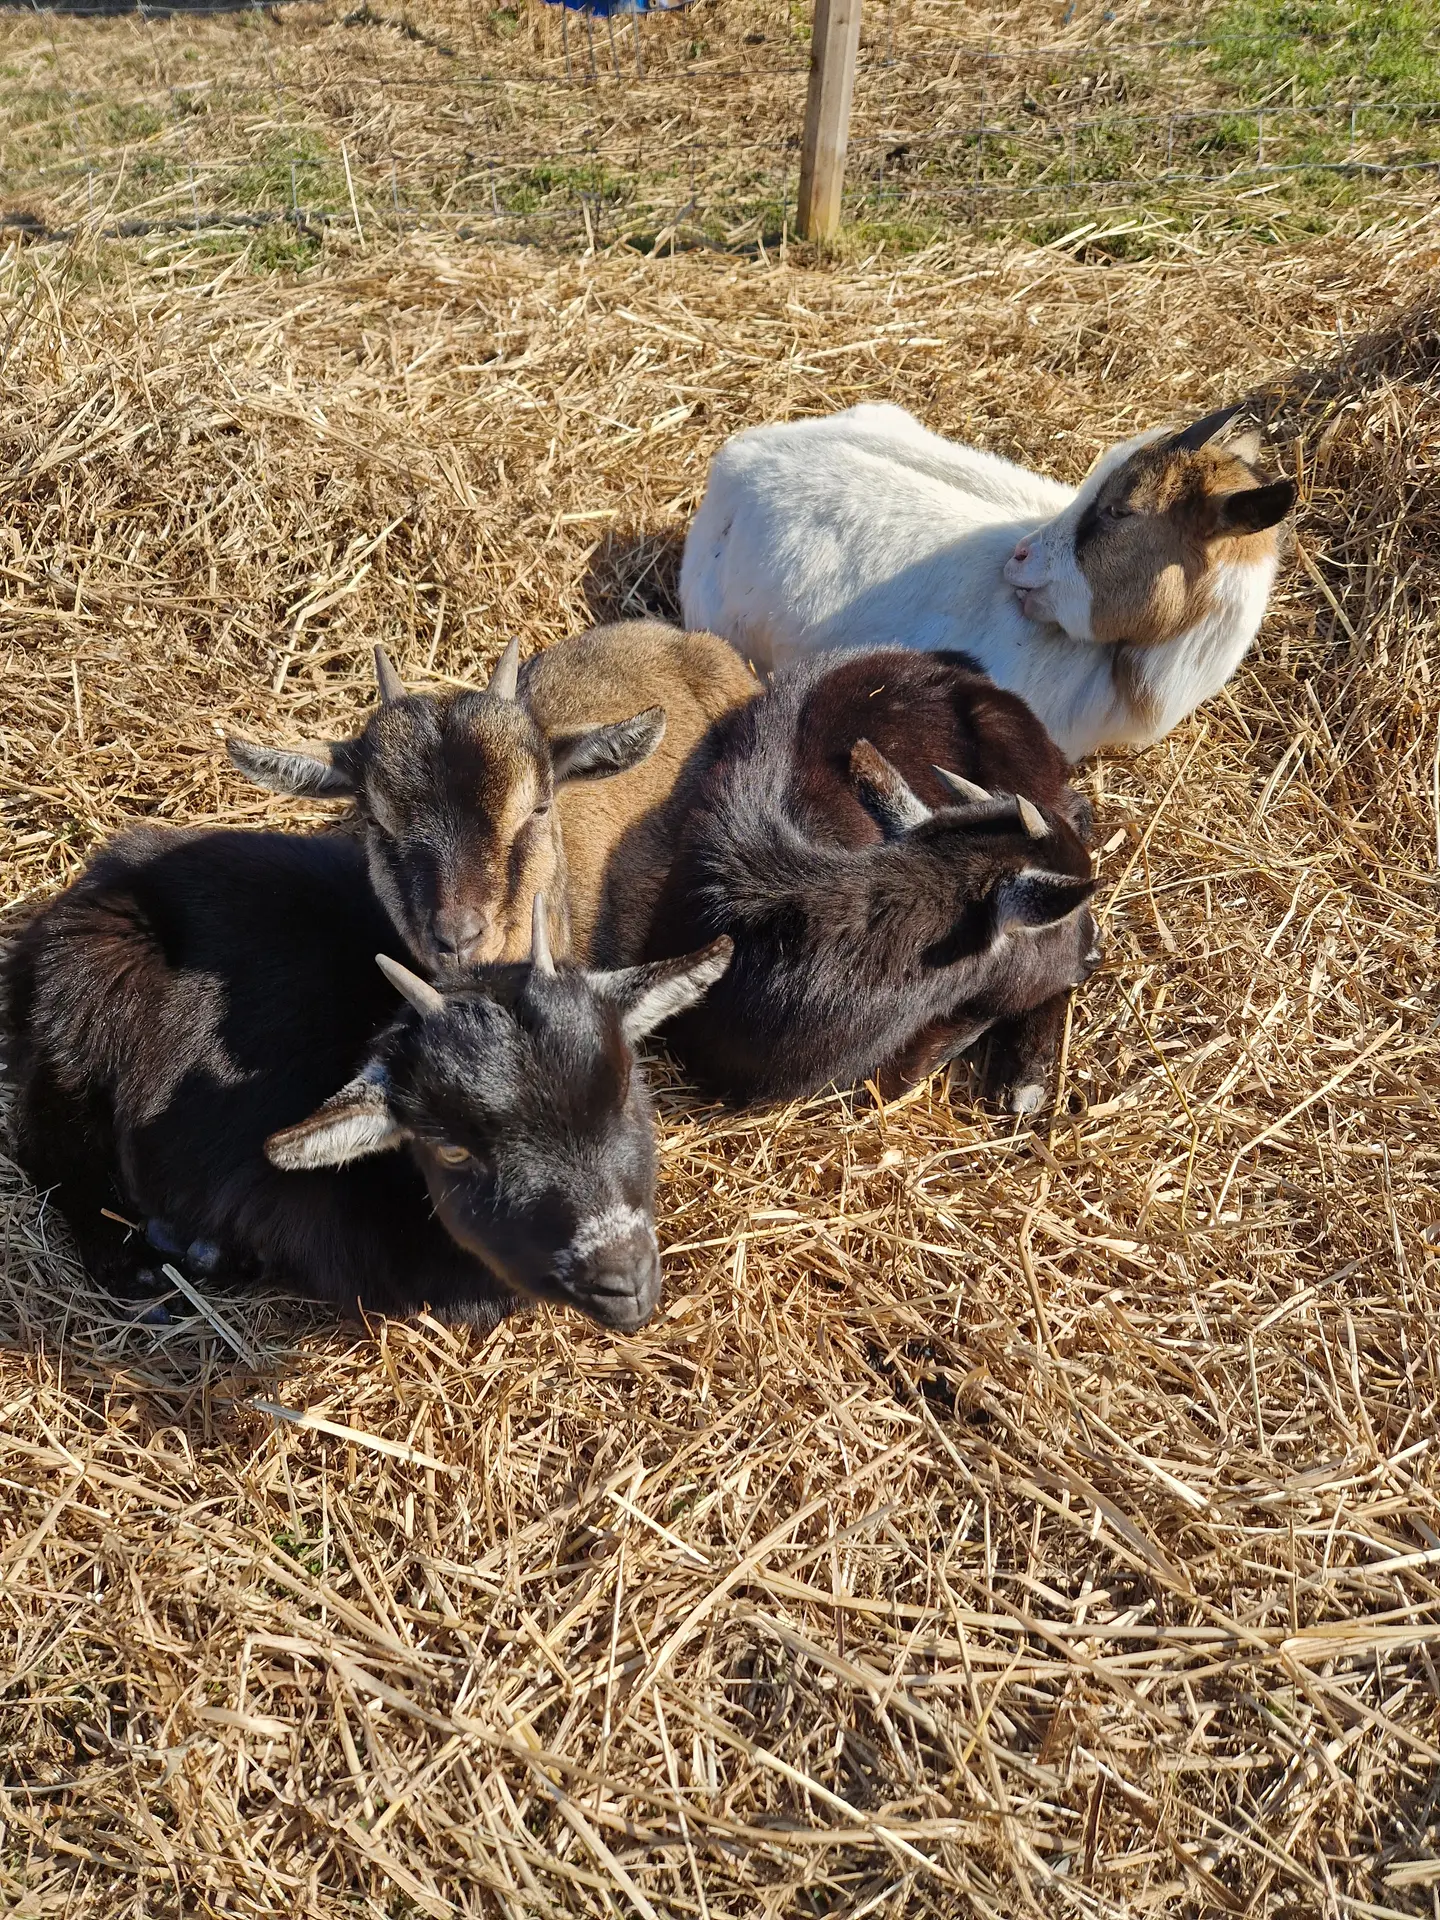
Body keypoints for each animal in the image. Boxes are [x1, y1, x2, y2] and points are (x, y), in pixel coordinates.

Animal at [3, 829, 731, 1331]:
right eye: (453, 1151)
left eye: (624, 1092)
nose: (624, 1284)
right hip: (86, 1014)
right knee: (47, 1147)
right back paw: (145, 1262)